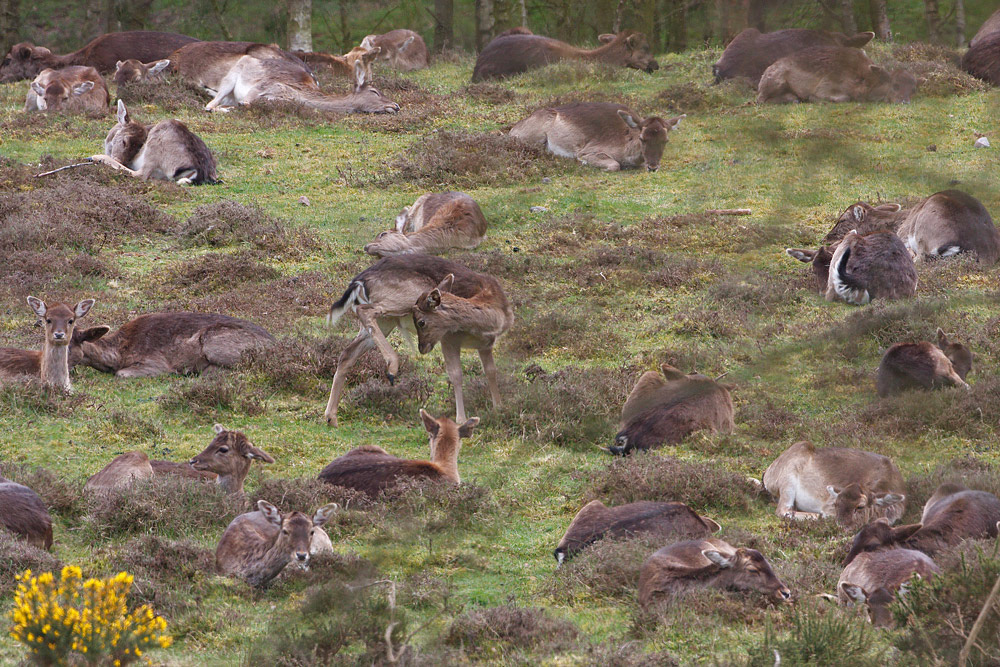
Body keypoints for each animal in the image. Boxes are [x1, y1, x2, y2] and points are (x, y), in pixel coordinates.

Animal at [89, 100, 218, 185]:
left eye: (124, 141)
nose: (119, 160)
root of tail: (198, 172)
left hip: (156, 145)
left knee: (141, 174)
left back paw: (96, 157)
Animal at [204, 55, 399, 114]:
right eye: (375, 91)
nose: (396, 105)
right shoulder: (266, 86)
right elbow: (246, 102)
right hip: (230, 78)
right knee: (208, 105)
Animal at [323, 255, 509, 427]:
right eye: (420, 322)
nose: (421, 348)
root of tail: (358, 281)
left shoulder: (486, 344)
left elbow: (491, 370)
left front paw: (499, 408)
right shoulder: (448, 338)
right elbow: (456, 373)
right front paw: (460, 420)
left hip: (385, 321)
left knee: (347, 353)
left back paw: (331, 417)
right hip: (404, 297)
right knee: (365, 311)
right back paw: (392, 367)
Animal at [510, 102, 684, 172]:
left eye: (666, 140)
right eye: (642, 138)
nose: (653, 167)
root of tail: (511, 130)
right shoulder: (590, 150)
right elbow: (614, 165)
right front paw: (583, 162)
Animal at [762, 441, 906, 526]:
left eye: (860, 507)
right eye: (835, 504)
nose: (841, 525)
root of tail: (767, 473)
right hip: (788, 478)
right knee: (782, 510)